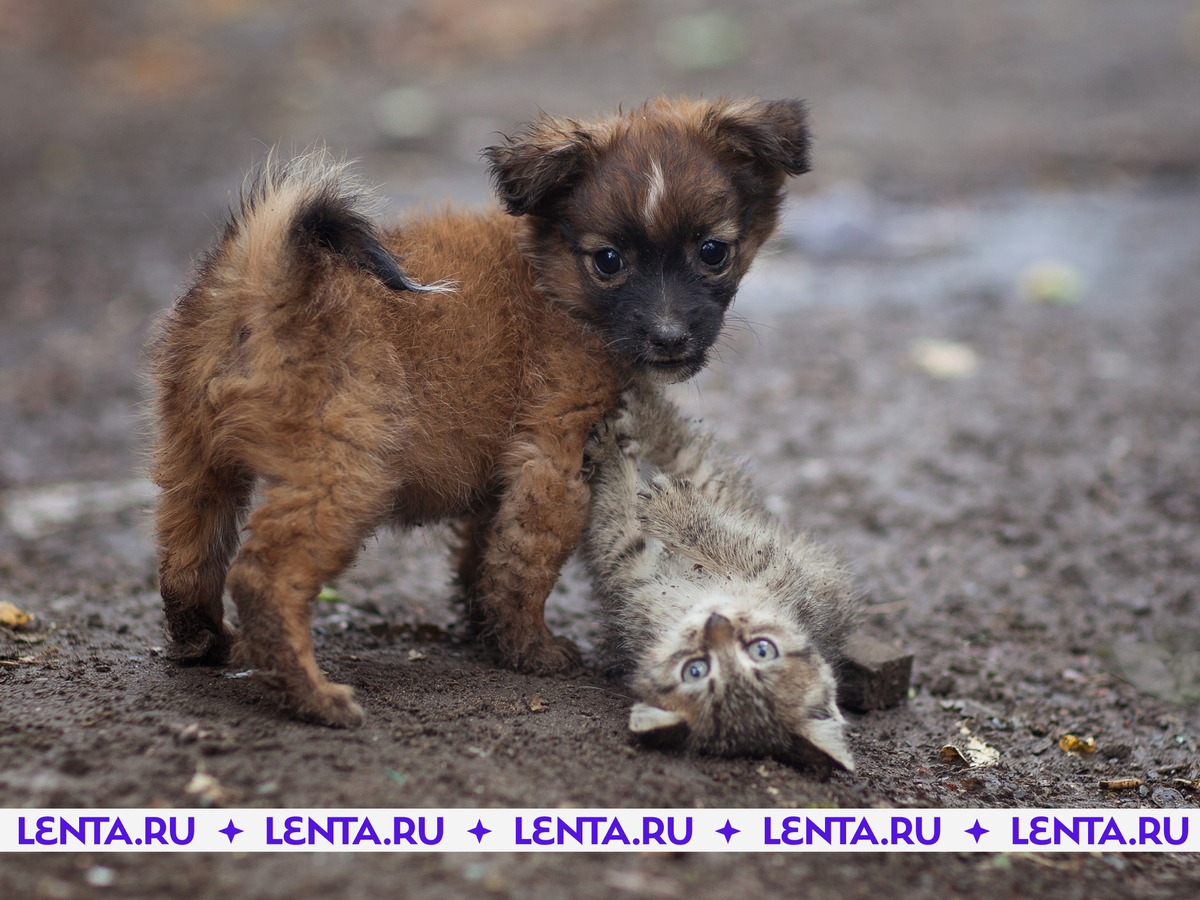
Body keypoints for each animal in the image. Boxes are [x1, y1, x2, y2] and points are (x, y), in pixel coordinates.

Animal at [147, 97, 806, 724]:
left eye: (713, 252)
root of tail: (263, 281)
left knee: (186, 558)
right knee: (263, 578)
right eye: (609, 261)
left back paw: (203, 643)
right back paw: (312, 696)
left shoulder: (503, 477)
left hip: (194, 460)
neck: (553, 281)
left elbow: (487, 557)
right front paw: (530, 650)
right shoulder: (554, 459)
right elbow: (526, 564)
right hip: (343, 474)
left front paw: (488, 634)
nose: (669, 338)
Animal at [583, 391, 859, 772]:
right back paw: (643, 409)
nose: (717, 624)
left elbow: (629, 523)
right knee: (686, 450)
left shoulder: (771, 566)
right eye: (763, 649)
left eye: (695, 671)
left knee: (692, 454)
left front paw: (618, 461)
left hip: (721, 495)